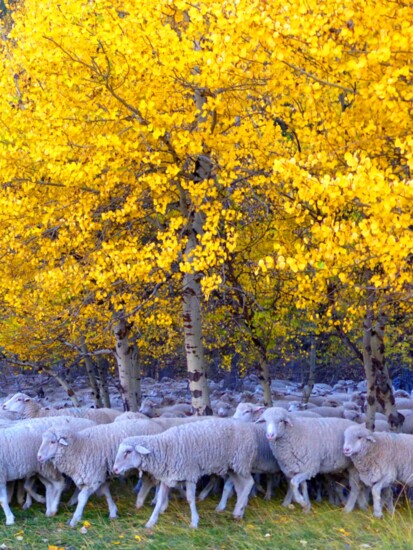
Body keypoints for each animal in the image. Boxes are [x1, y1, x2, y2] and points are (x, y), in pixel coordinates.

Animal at [112, 422, 258, 532]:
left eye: (128, 452)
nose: (115, 469)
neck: (165, 448)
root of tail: (247, 427)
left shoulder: (190, 474)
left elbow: (190, 499)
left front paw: (194, 522)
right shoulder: (167, 477)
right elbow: (160, 499)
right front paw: (151, 522)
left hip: (241, 461)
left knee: (249, 483)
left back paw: (237, 511)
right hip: (234, 467)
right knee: (240, 486)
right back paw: (239, 510)